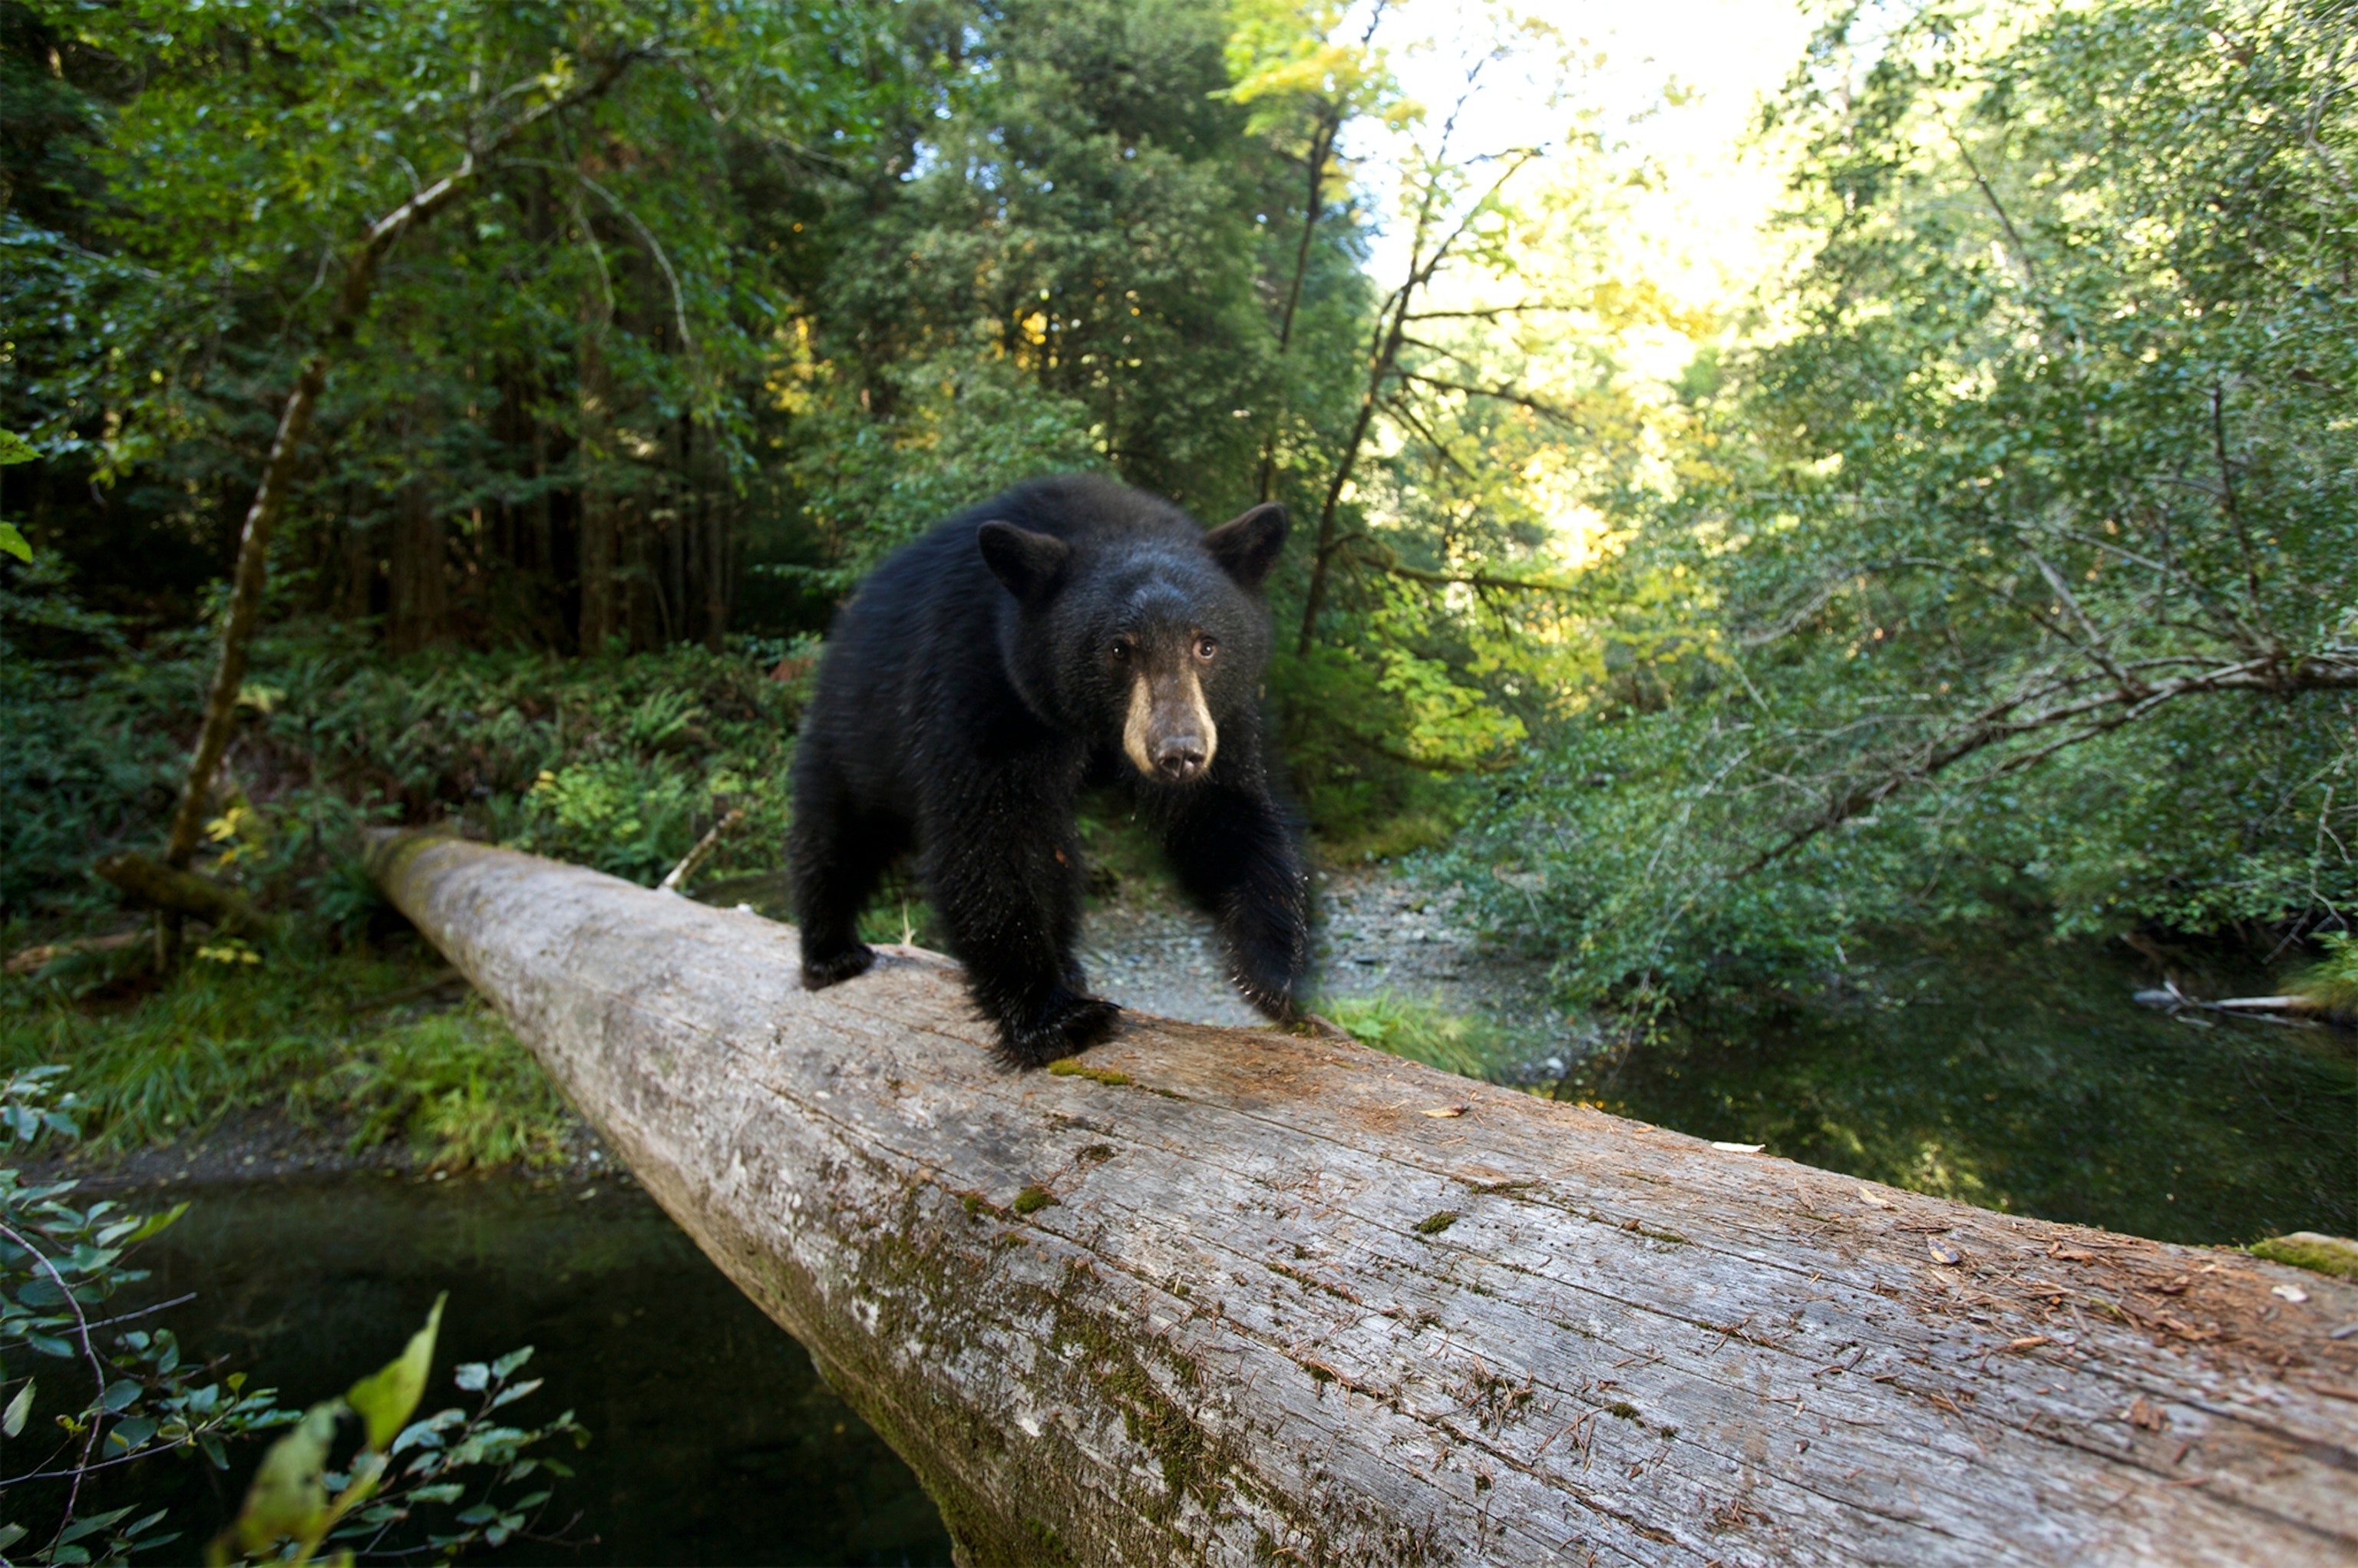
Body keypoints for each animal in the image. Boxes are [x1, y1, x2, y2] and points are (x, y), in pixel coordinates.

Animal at [788, 473, 1310, 1066]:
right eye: (1118, 649)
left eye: (1207, 645)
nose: (1179, 753)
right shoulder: (980, 683)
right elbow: (989, 841)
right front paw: (1053, 1017)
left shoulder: (1220, 715)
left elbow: (1226, 811)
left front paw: (1271, 971)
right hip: (856, 724)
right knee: (835, 830)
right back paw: (830, 951)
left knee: (1058, 855)